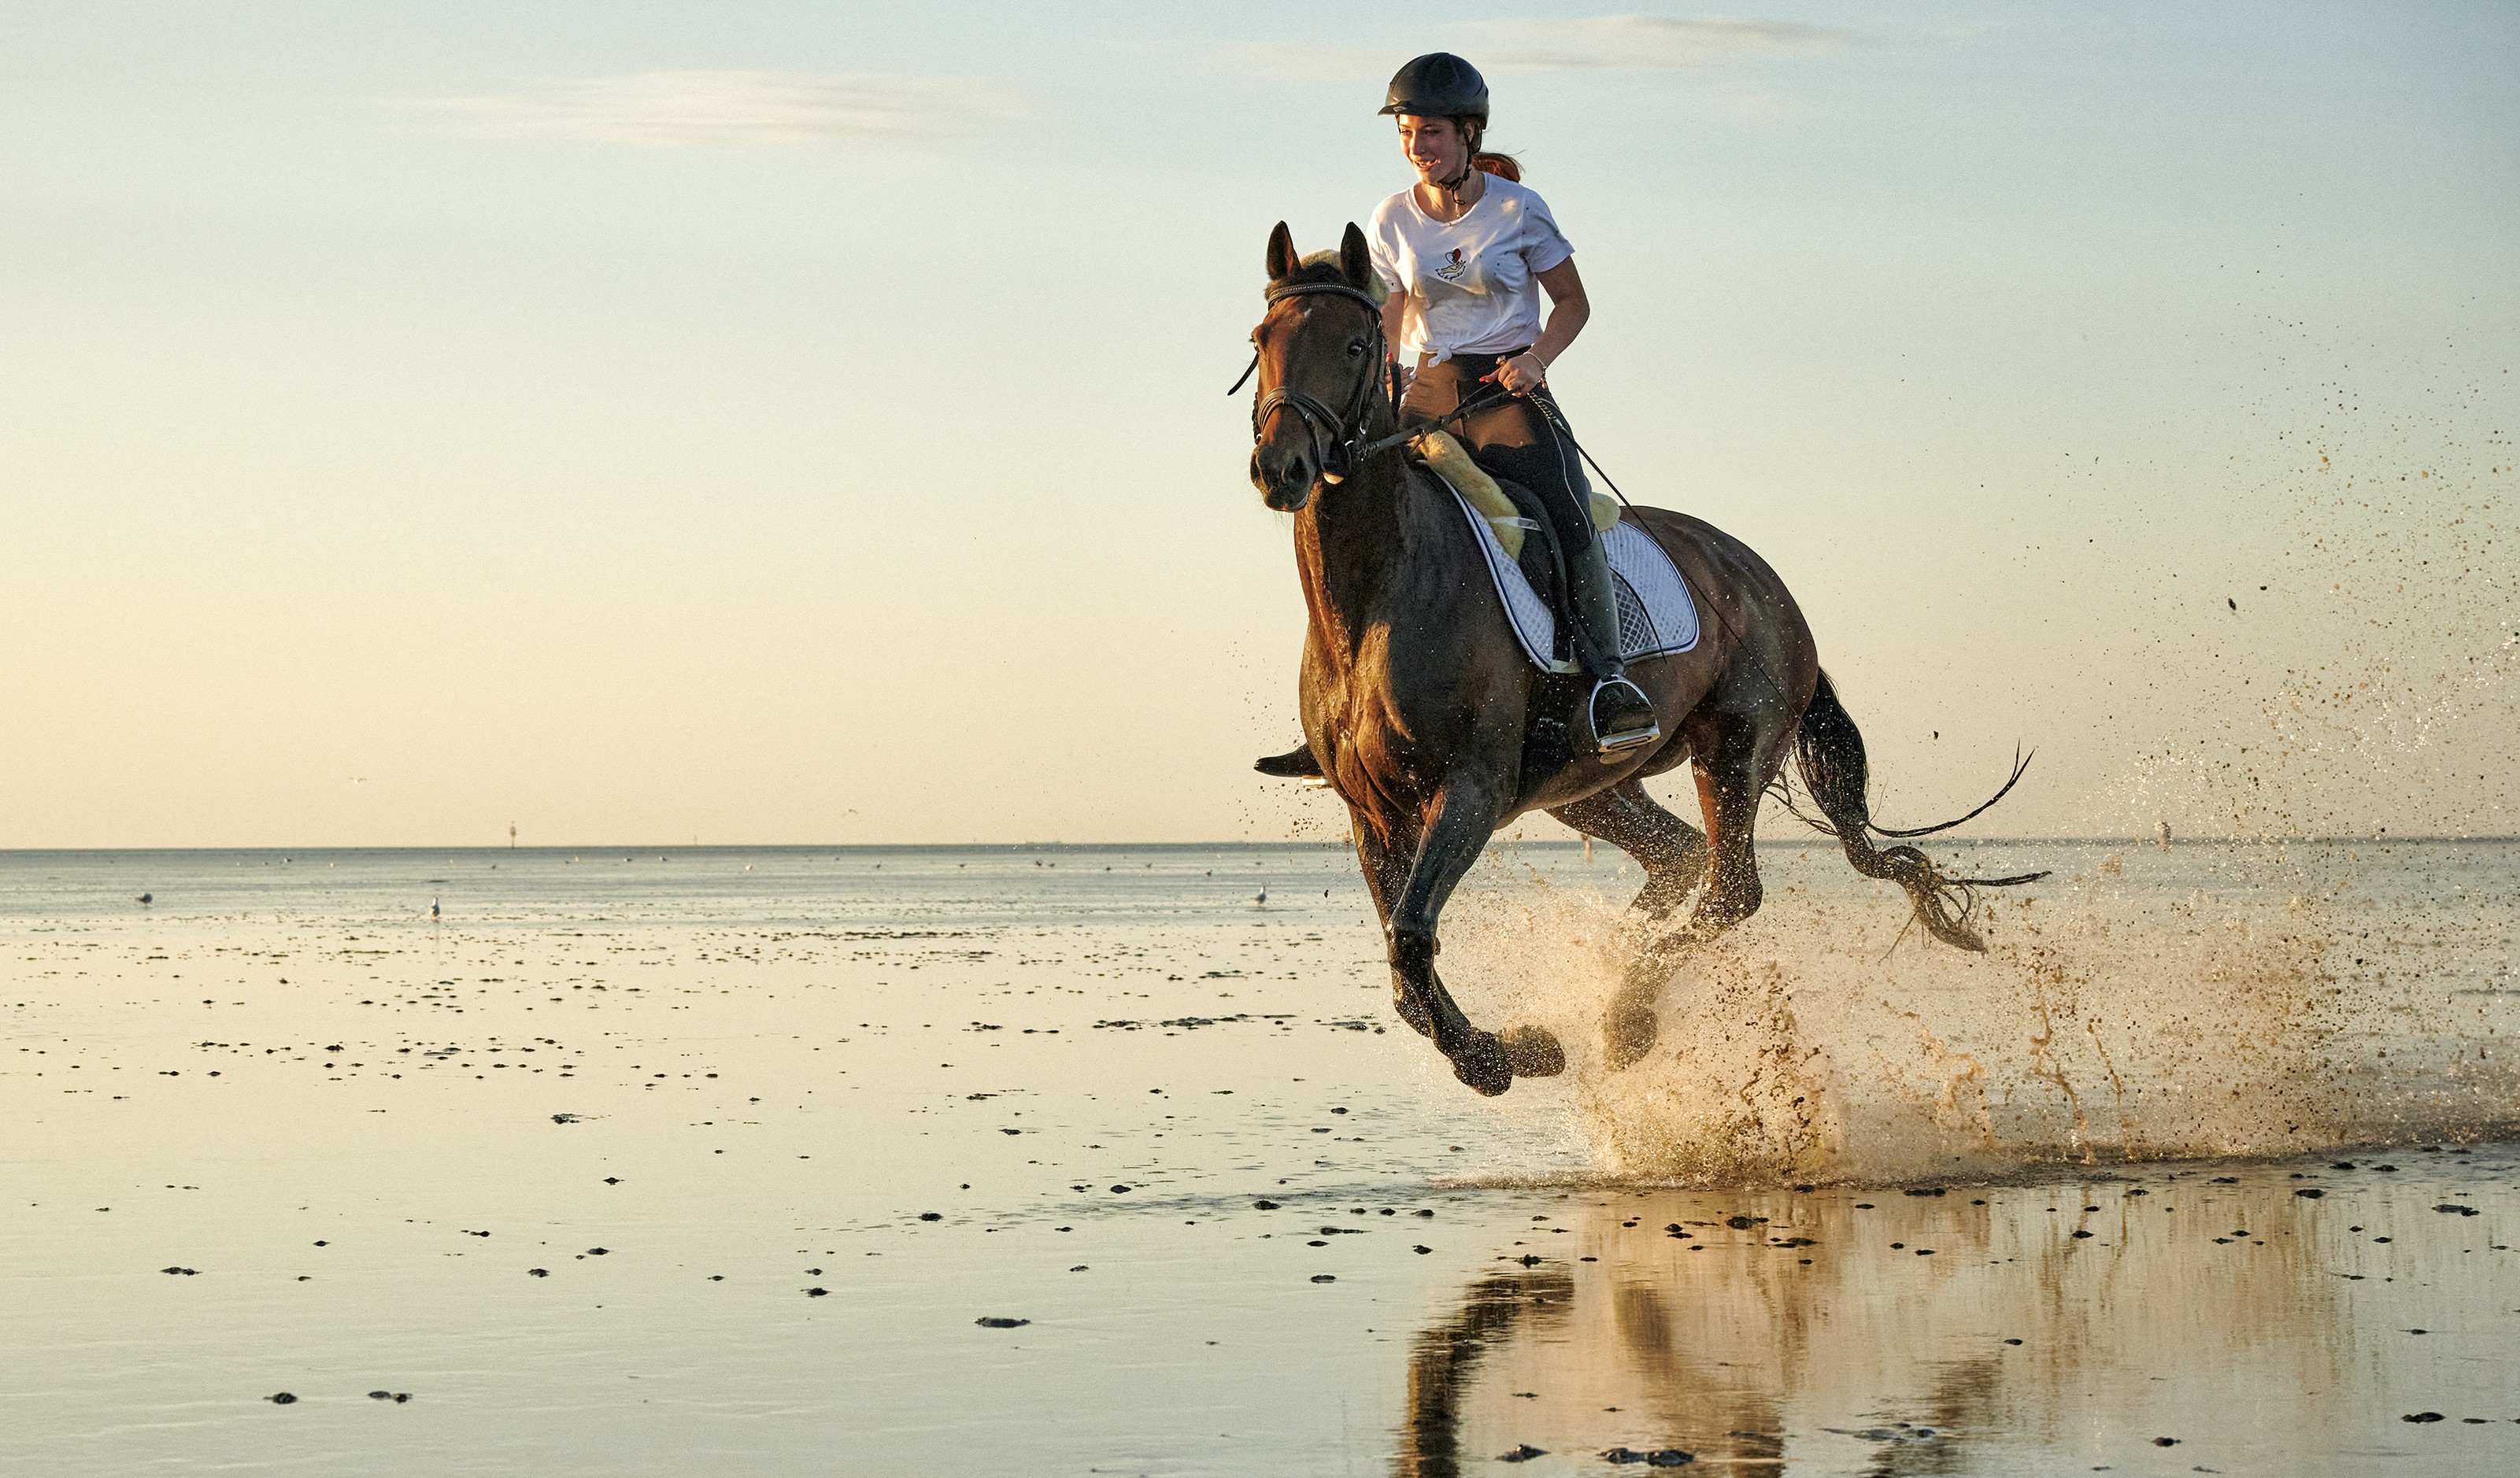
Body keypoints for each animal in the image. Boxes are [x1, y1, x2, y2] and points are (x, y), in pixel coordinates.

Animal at [1245, 220, 2046, 1097]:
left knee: (1730, 890)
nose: (1280, 468)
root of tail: (1763, 579)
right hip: (1589, 788)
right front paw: (1515, 1049)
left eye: (1356, 345)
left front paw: (1500, 1059)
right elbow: (1401, 964)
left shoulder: (1470, 791)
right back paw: (1618, 990)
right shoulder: (1372, 813)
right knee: (1679, 861)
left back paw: (1626, 1016)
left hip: (1732, 748)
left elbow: (1414, 936)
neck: (1379, 593)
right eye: (1261, 340)